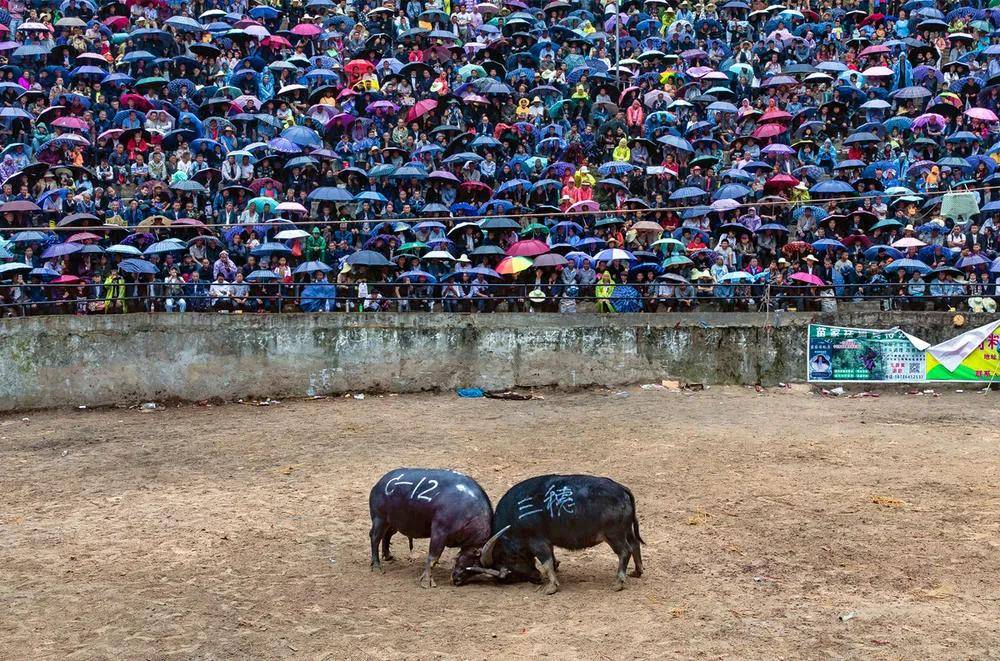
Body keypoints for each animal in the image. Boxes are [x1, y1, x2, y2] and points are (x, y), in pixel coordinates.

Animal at [370, 466, 498, 584]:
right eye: (473, 561)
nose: (457, 580)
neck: (468, 510)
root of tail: (379, 484)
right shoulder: (439, 532)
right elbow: (433, 556)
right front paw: (426, 581)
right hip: (379, 519)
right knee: (375, 538)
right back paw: (376, 566)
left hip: (394, 522)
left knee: (387, 535)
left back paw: (388, 556)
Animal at [478, 474, 648, 592]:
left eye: (508, 558)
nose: (536, 577)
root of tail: (621, 489)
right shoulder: (547, 542)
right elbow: (551, 559)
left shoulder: (537, 542)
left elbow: (546, 562)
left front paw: (551, 587)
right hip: (627, 531)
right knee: (635, 544)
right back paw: (637, 571)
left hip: (614, 535)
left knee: (625, 551)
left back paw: (618, 583)